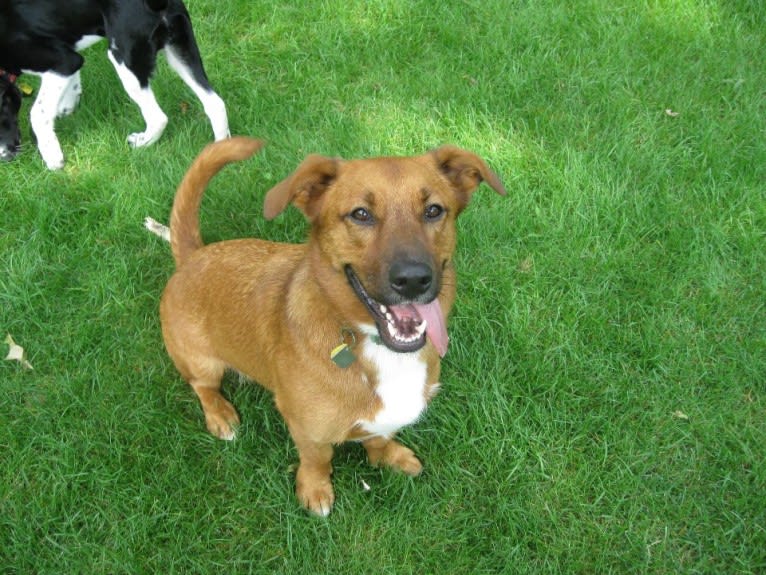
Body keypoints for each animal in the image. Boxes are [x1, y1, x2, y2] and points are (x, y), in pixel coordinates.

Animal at [0, 0, 228, 170]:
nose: (4, 158)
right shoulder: (69, 58)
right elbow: (72, 85)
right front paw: (66, 108)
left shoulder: (63, 61)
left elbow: (38, 113)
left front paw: (52, 157)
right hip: (181, 50)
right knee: (215, 104)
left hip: (124, 59)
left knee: (158, 117)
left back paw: (142, 143)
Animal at [160, 136, 508, 516]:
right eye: (360, 214)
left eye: (433, 210)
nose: (414, 280)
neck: (370, 342)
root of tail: (193, 256)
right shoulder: (306, 429)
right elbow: (318, 459)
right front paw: (315, 489)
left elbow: (380, 437)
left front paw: (388, 456)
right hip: (203, 364)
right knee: (203, 388)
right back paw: (220, 416)